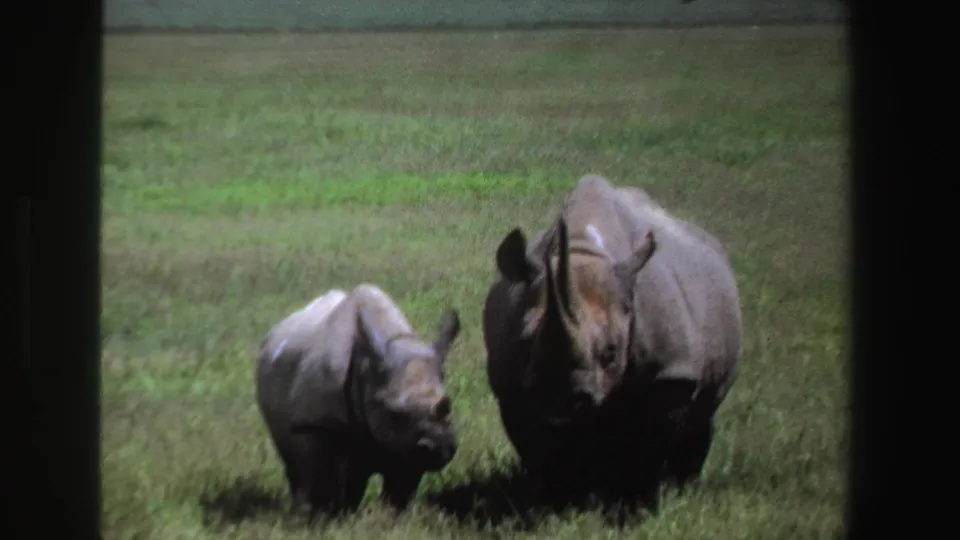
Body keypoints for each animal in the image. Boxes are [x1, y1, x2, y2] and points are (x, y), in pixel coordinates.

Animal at [255, 284, 462, 518]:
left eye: (449, 405)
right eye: (395, 414)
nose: (437, 447)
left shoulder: (407, 445)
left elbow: (402, 482)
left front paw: (394, 518)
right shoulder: (317, 422)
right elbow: (328, 475)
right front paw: (330, 517)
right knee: (299, 464)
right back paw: (306, 510)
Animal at [482, 174, 742, 508]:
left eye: (611, 351)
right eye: (525, 341)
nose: (560, 398)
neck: (583, 252)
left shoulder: (671, 373)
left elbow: (651, 445)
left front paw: (638, 503)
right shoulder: (510, 384)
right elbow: (534, 446)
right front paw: (555, 499)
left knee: (703, 414)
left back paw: (682, 488)